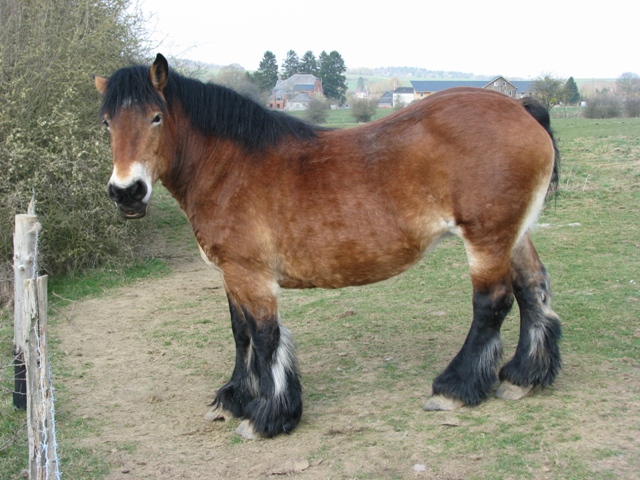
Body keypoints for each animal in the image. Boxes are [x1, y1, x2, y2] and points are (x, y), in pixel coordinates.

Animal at [94, 52, 560, 438]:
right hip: (513, 236)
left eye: (156, 117)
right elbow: (241, 332)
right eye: (107, 123)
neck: (230, 167)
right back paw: (523, 377)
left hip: (487, 238)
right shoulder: (232, 274)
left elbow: (264, 336)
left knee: (492, 303)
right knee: (532, 289)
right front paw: (234, 398)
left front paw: (267, 415)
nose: (127, 192)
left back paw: (455, 388)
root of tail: (519, 108)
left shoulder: (251, 274)